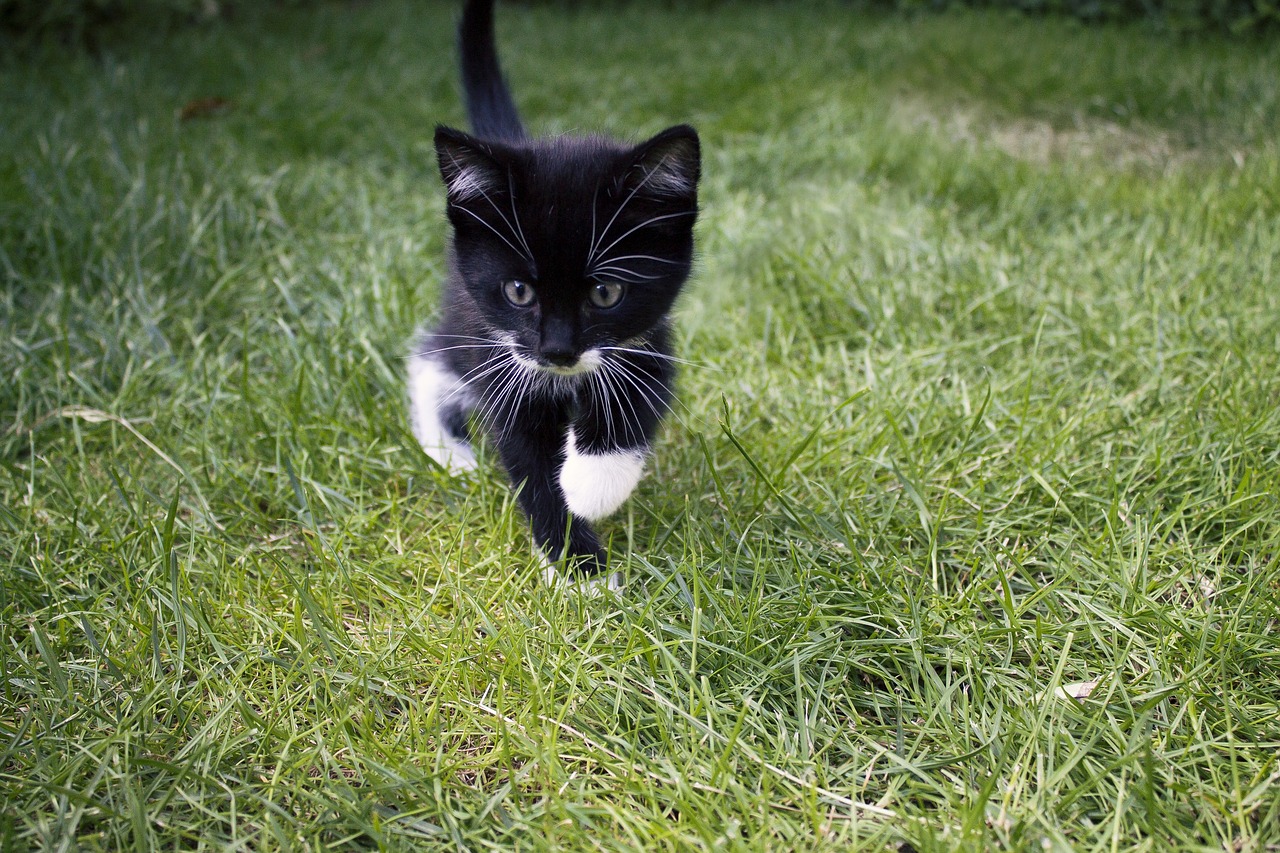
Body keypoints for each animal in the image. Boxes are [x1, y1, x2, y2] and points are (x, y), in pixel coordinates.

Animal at [409, 0, 701, 581]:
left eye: (606, 293)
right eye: (519, 291)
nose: (558, 351)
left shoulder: (648, 336)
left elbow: (638, 399)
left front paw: (591, 484)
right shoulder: (504, 360)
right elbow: (528, 460)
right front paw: (581, 569)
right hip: (469, 319)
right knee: (432, 357)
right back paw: (450, 449)